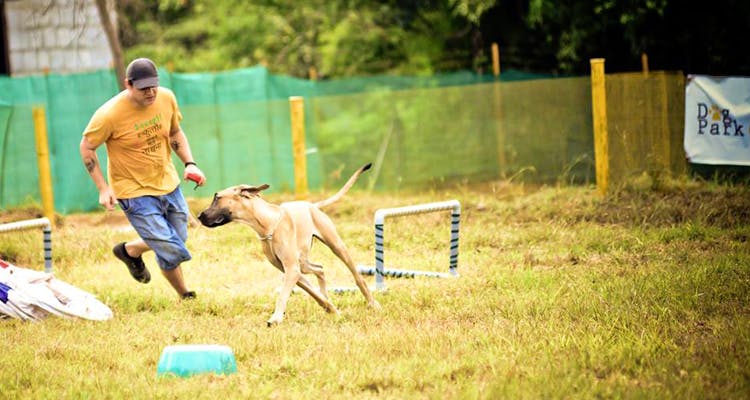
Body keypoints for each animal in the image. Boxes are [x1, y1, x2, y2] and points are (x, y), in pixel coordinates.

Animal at [198, 163, 382, 324]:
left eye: (217, 198)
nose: (200, 216)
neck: (268, 225)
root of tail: (311, 205)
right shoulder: (290, 270)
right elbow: (312, 292)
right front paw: (330, 308)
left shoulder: (292, 269)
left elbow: (283, 296)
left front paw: (275, 319)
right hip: (304, 262)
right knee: (320, 269)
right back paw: (327, 295)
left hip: (336, 246)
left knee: (357, 276)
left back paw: (372, 303)